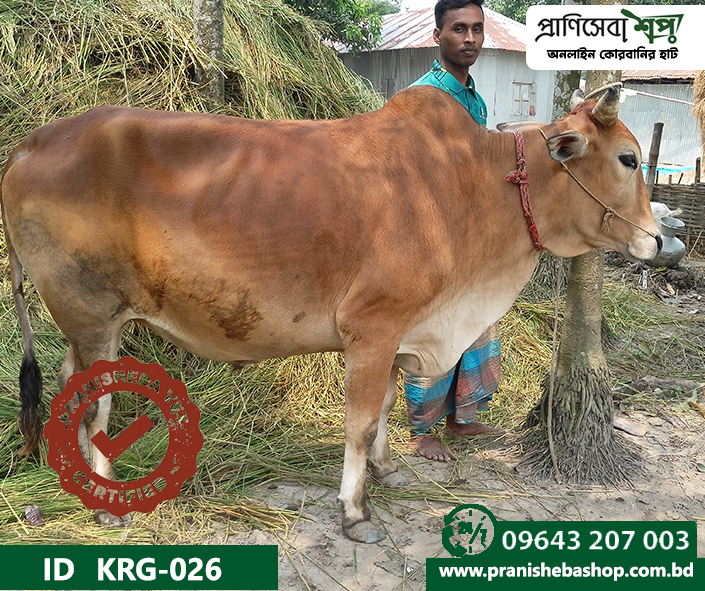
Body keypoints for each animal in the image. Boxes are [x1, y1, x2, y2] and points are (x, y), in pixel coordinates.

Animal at [1, 84, 660, 543]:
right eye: (629, 159)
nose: (663, 240)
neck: (473, 184)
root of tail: (28, 144)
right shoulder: (372, 327)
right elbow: (360, 423)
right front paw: (354, 511)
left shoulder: (399, 333)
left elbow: (388, 408)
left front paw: (388, 472)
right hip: (93, 318)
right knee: (95, 406)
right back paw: (107, 506)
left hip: (87, 327)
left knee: (69, 390)